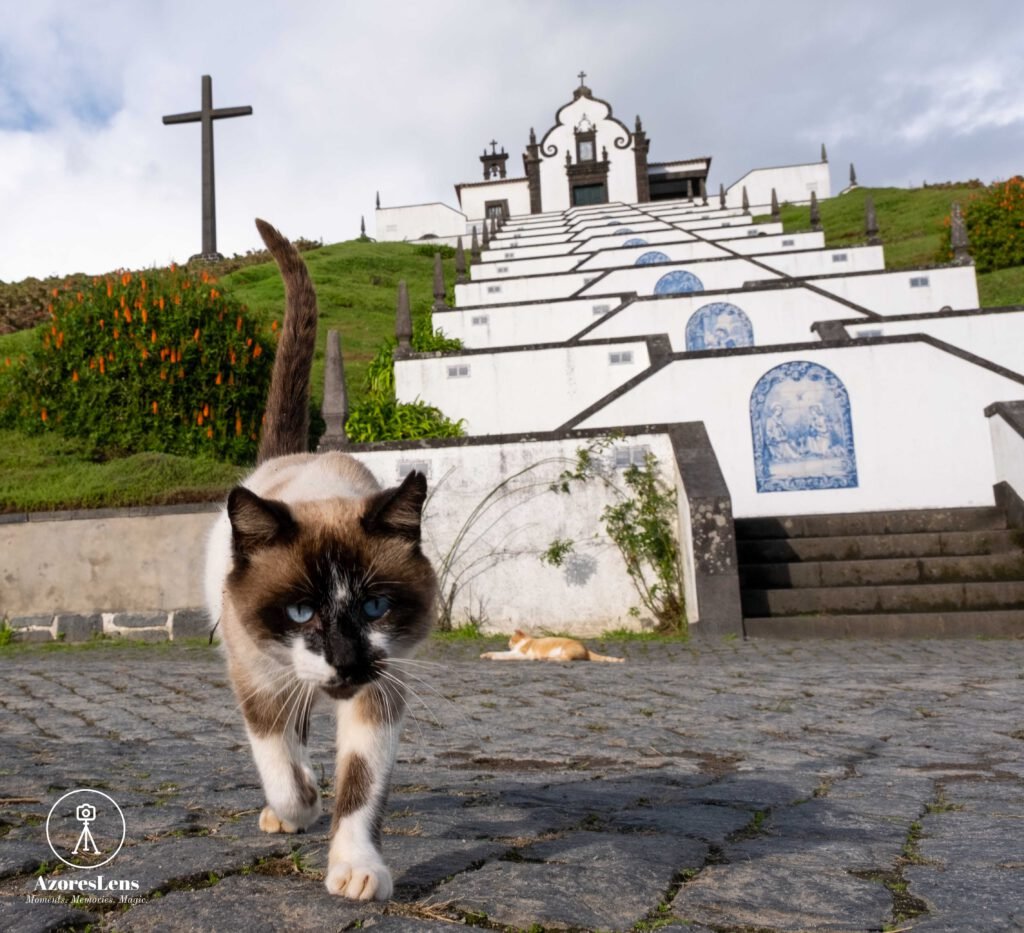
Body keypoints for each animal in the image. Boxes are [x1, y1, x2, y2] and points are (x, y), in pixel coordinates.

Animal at [203, 215, 436, 901]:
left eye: (376, 606)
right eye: (302, 612)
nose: (345, 660)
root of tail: (294, 457)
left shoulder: (381, 689)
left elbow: (359, 790)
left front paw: (356, 870)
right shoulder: (257, 677)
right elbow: (281, 765)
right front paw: (299, 805)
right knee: (288, 740)